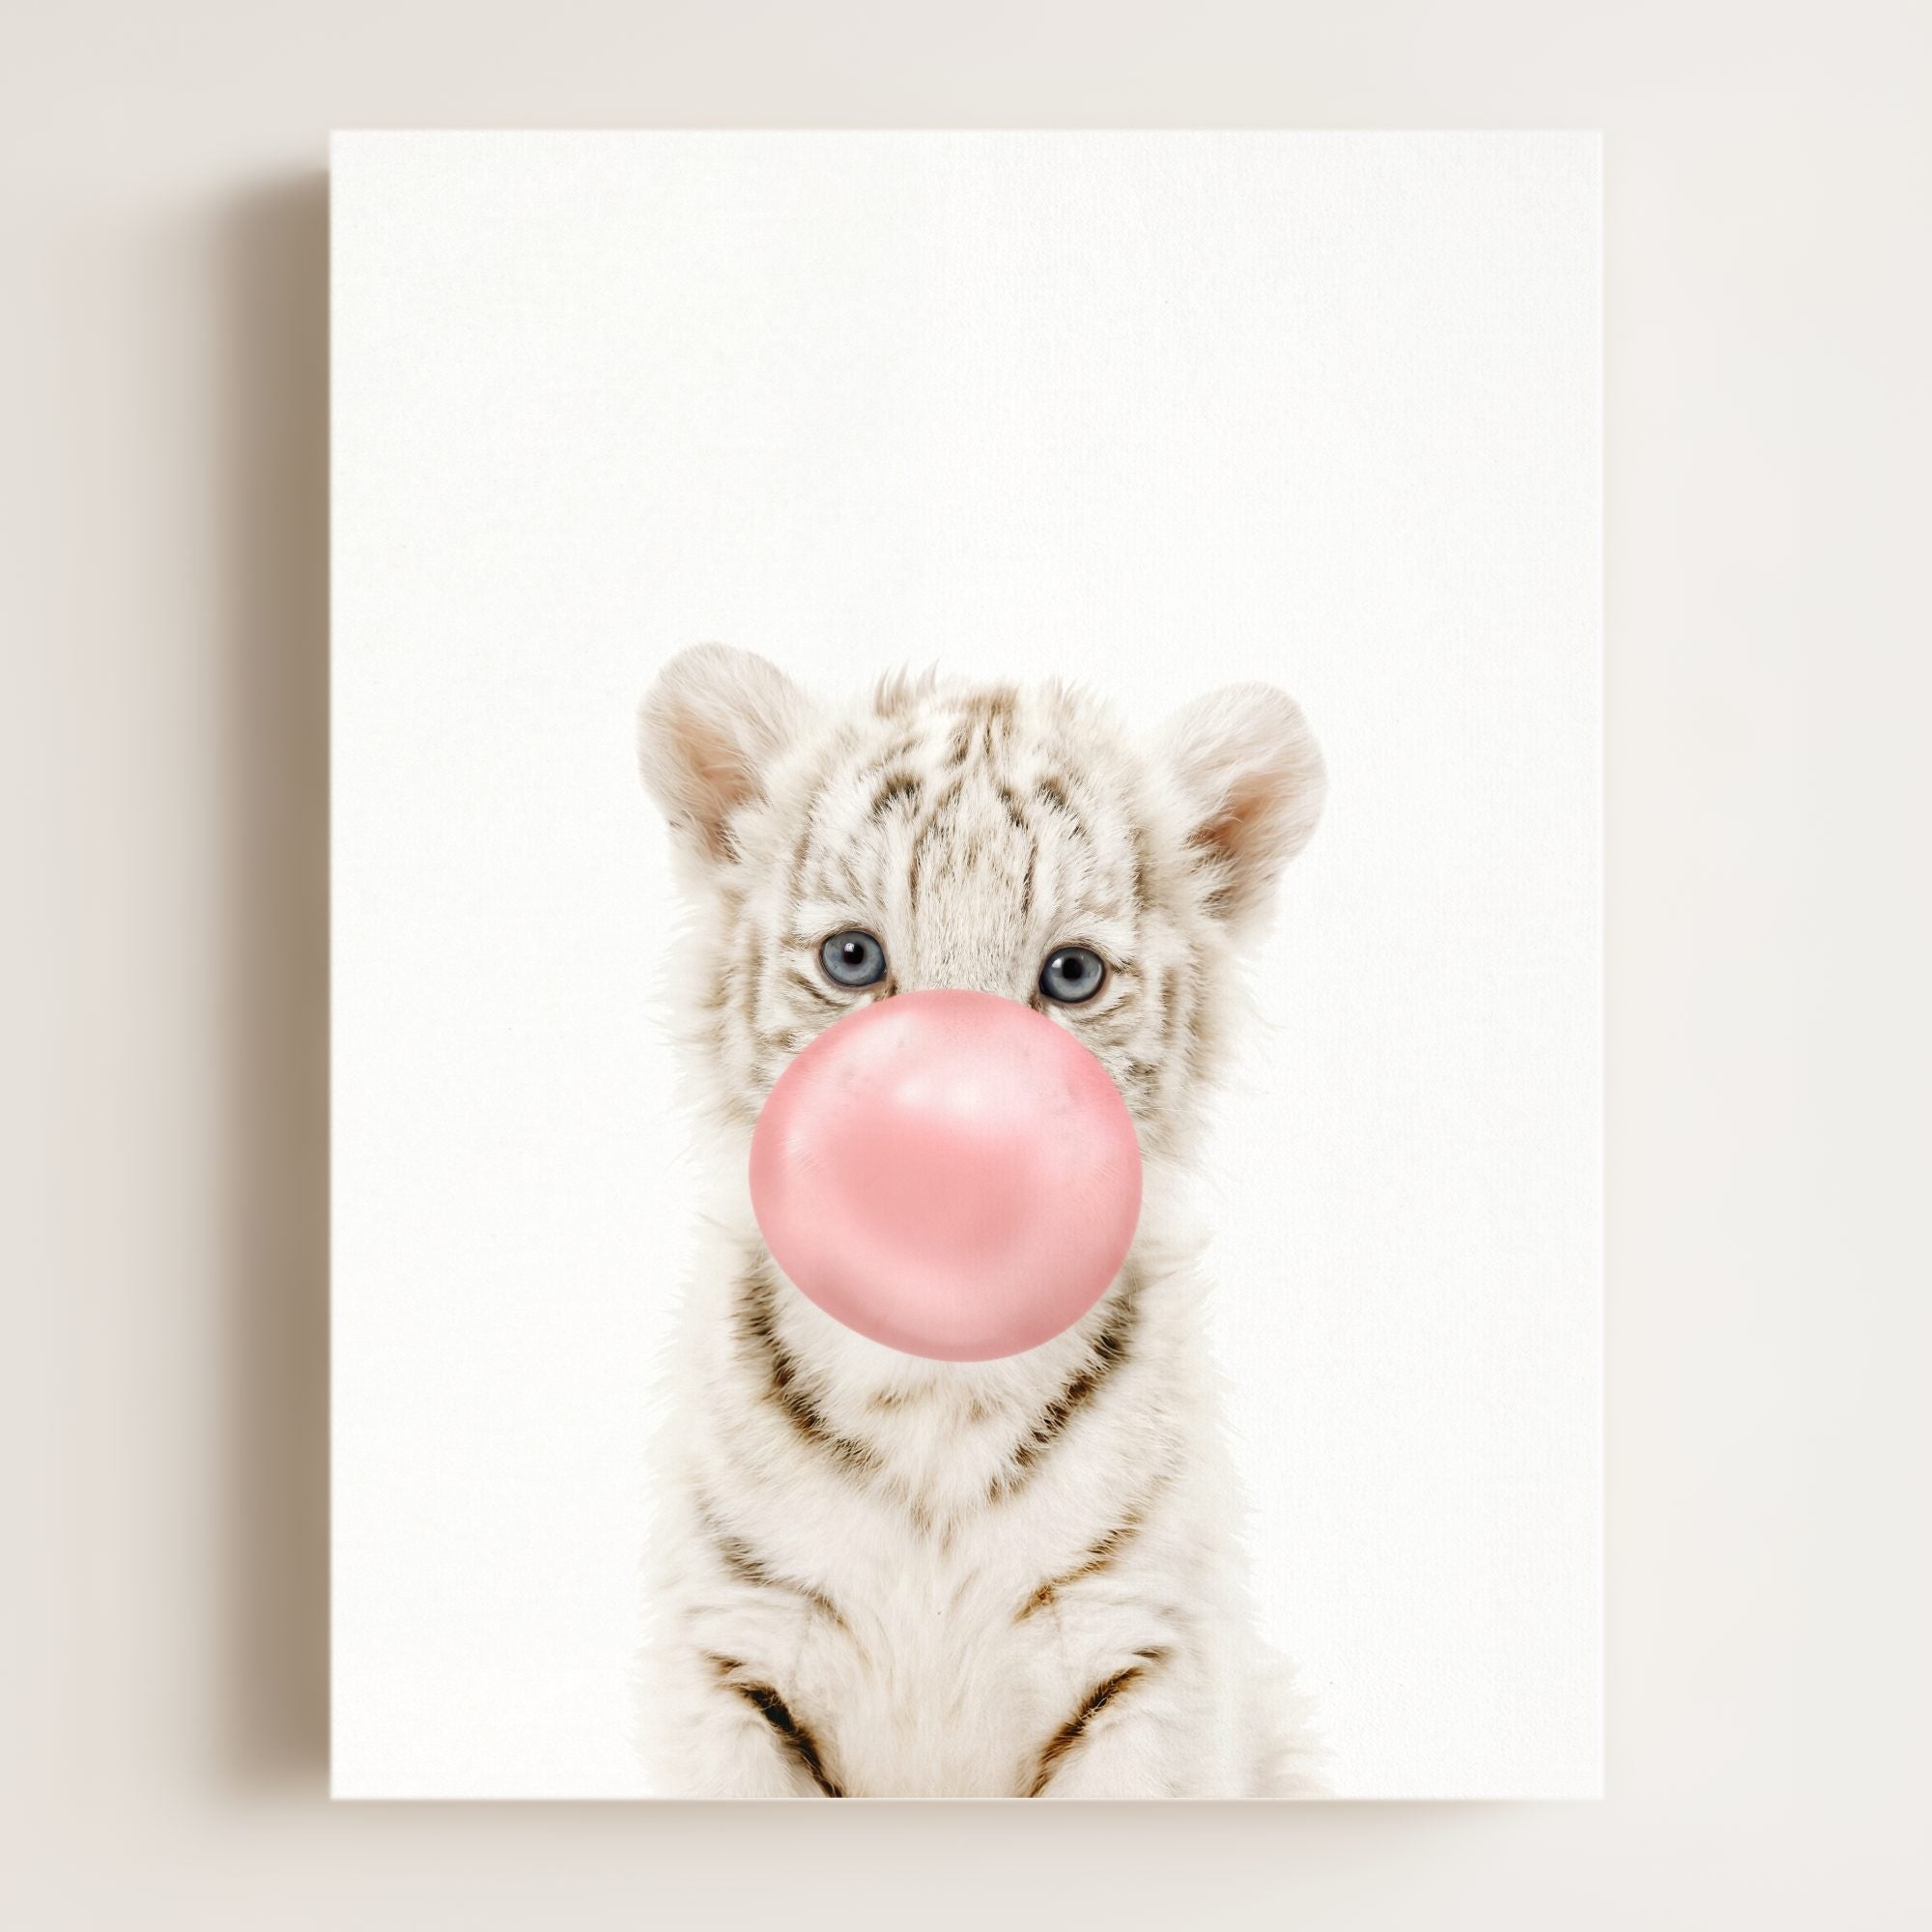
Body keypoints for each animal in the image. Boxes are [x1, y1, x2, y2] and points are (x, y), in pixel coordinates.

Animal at [634, 642, 1328, 1797]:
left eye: (1071, 974)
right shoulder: (731, 1655)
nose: (953, 1151)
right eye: (853, 959)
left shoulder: (1145, 1659)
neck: (934, 1393)